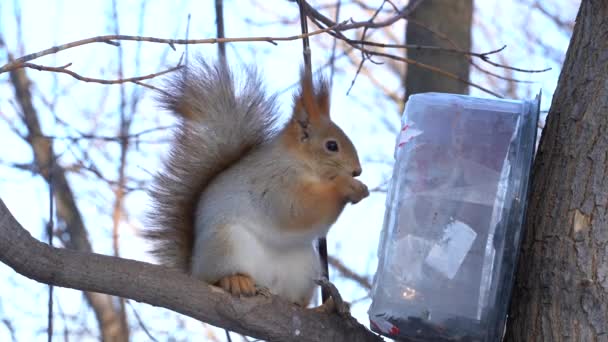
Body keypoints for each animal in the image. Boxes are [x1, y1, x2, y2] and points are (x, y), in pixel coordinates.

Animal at [145, 58, 368, 308]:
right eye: (331, 146)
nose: (357, 171)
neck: (301, 162)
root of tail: (194, 267)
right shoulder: (275, 182)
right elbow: (299, 209)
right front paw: (346, 186)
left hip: (305, 267)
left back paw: (318, 307)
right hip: (227, 244)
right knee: (216, 277)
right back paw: (235, 280)